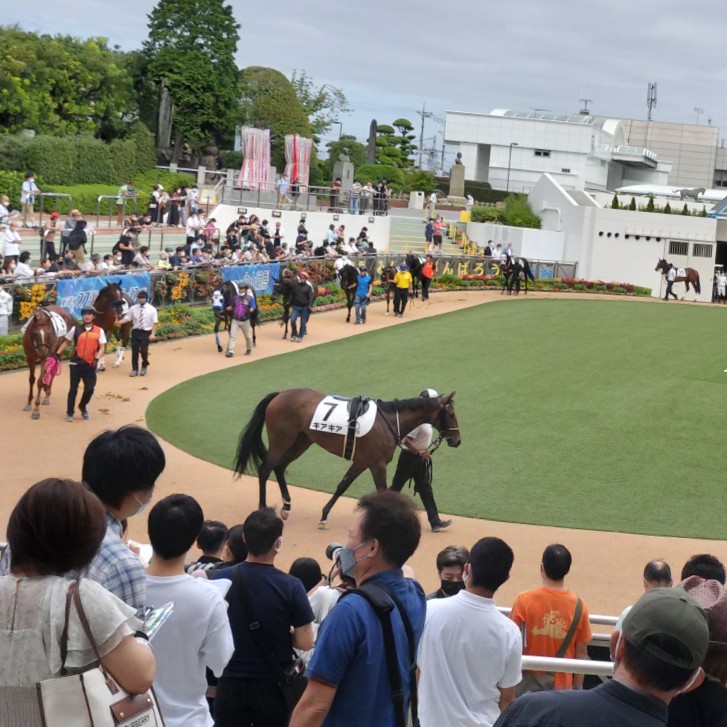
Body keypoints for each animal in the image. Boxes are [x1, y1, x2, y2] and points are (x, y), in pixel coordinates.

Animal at [234, 388, 461, 526]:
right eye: (451, 414)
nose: (457, 440)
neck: (388, 421)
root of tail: (279, 395)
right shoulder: (377, 464)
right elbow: (382, 491)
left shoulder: (362, 461)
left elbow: (343, 485)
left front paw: (324, 515)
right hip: (282, 440)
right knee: (265, 469)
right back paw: (263, 509)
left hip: (301, 441)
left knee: (279, 467)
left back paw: (287, 506)